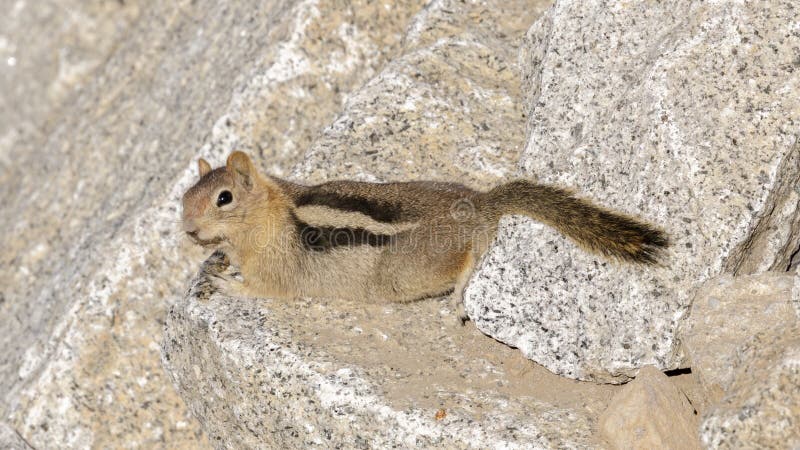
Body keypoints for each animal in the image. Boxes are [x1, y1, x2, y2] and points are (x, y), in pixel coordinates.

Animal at [183, 153, 668, 322]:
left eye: (223, 198)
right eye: (185, 197)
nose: (188, 230)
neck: (267, 215)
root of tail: (481, 203)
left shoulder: (276, 274)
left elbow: (258, 289)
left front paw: (223, 283)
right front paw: (214, 264)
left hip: (404, 274)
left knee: (470, 254)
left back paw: (459, 294)